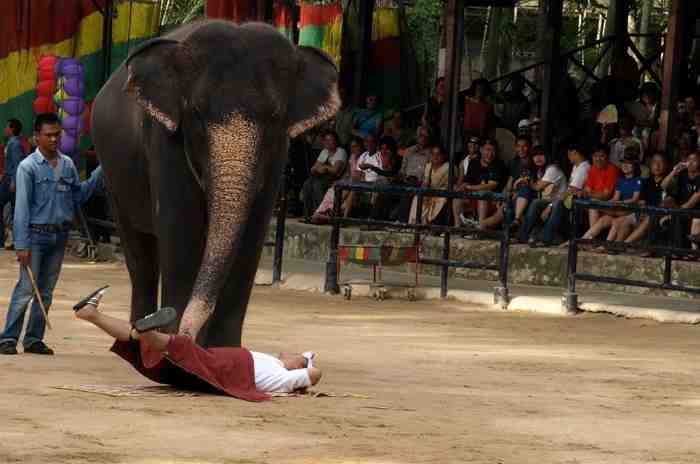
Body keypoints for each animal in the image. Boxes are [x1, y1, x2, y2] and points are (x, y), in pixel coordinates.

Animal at [91, 20, 339, 347]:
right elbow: (182, 230)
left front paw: (223, 351)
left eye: (274, 116)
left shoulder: (277, 156)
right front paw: (173, 348)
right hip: (112, 174)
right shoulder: (164, 140)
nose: (171, 325)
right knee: (140, 253)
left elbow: (251, 236)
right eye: (196, 111)